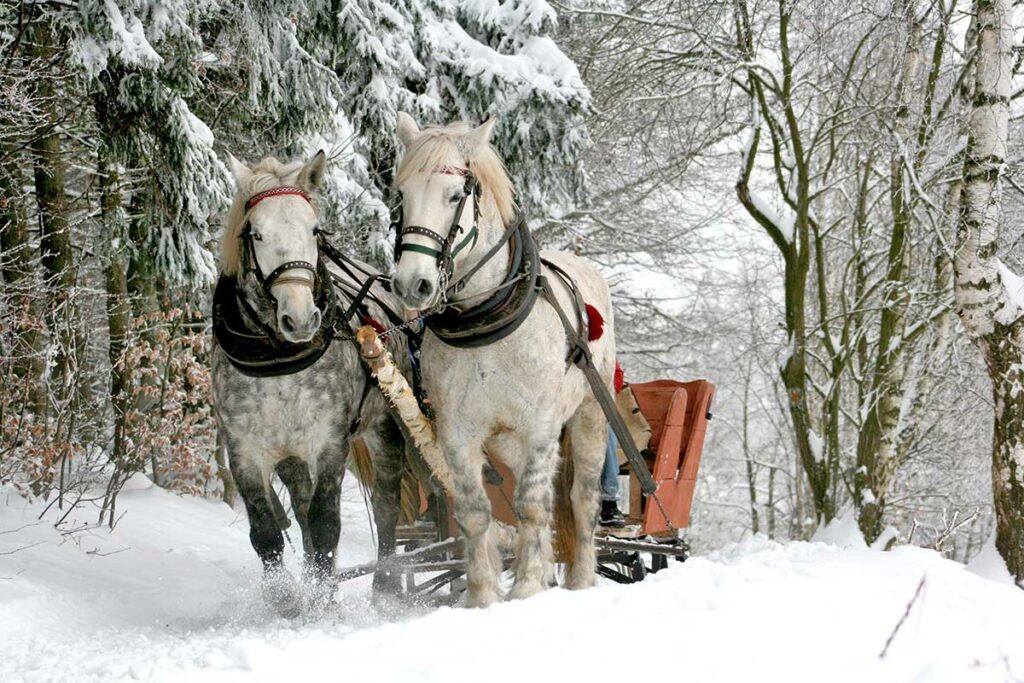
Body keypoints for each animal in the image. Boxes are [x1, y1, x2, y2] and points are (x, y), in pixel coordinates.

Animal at [389, 114, 614, 606]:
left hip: (589, 414)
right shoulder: (457, 431)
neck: (485, 319)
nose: (413, 284)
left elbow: (531, 505)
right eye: (402, 194)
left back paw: (581, 579)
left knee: (580, 498)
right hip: (507, 439)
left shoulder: (543, 424)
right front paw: (483, 596)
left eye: (455, 195)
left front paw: (527, 587)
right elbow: (476, 511)